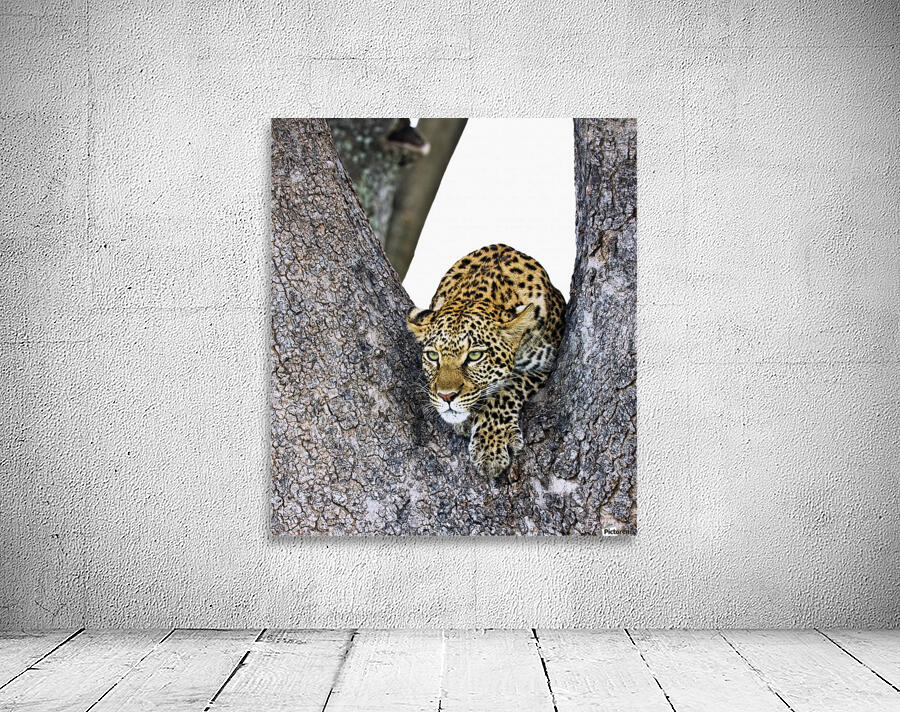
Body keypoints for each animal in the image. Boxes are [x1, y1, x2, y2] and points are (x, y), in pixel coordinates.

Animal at [407, 243, 566, 477]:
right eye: (433, 356)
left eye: (475, 356)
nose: (446, 396)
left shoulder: (546, 364)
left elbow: (506, 390)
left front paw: (489, 446)